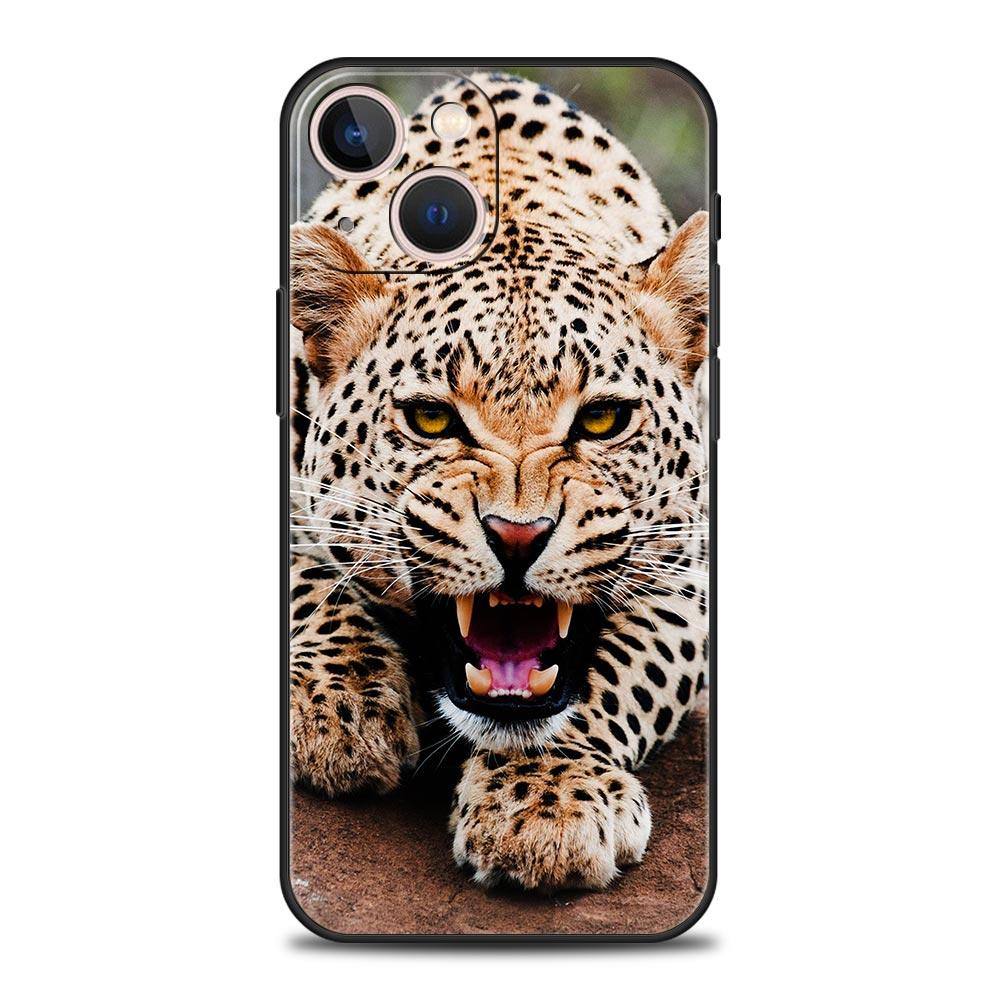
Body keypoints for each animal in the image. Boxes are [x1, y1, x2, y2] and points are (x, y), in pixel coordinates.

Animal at [288, 72, 710, 891]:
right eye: (430, 420)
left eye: (604, 419)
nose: (518, 536)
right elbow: (306, 579)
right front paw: (342, 707)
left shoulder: (691, 571)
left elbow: (616, 673)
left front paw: (546, 802)